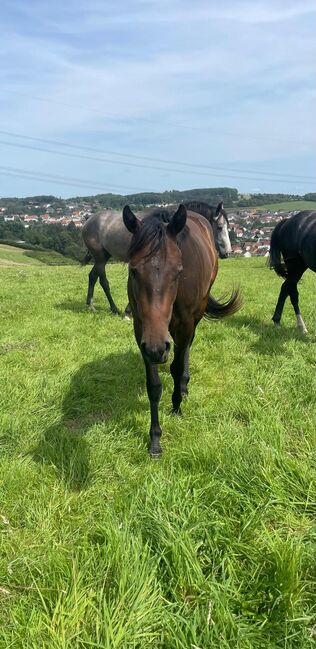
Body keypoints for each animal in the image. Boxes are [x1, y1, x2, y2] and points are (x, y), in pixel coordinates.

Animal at [80, 202, 231, 314]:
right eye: (220, 227)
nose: (228, 253)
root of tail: (88, 221)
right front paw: (129, 311)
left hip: (103, 257)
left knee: (92, 276)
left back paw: (91, 305)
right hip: (100, 258)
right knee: (103, 281)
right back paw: (112, 308)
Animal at [122, 202, 241, 456]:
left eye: (178, 271)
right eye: (133, 271)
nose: (157, 348)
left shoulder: (184, 324)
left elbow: (176, 367)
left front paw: (176, 405)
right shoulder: (141, 331)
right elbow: (153, 385)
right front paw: (155, 440)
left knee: (186, 348)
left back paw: (184, 387)